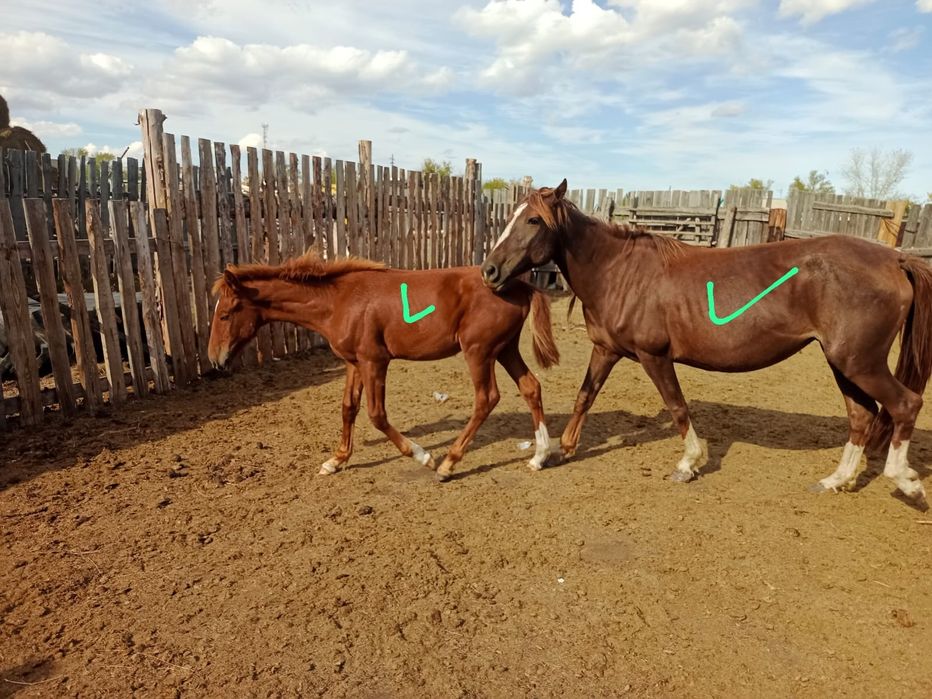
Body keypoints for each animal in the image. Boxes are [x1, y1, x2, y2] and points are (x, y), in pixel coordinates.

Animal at [208, 252, 560, 481]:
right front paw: (336, 460)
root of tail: (519, 286)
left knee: (486, 398)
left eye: (225, 313)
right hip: (505, 349)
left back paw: (448, 463)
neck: (340, 300)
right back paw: (539, 456)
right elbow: (348, 408)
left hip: (479, 351)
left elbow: (376, 415)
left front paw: (423, 455)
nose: (215, 359)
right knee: (531, 387)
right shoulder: (354, 362)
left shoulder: (374, 361)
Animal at [480, 179, 932, 504]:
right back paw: (837, 480)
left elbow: (678, 407)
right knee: (862, 416)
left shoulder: (654, 356)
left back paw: (905, 480)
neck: (620, 272)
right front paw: (561, 451)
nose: (489, 270)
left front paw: (689, 464)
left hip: (859, 362)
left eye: (534, 221)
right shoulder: (606, 350)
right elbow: (584, 397)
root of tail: (895, 259)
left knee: (905, 404)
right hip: (844, 363)